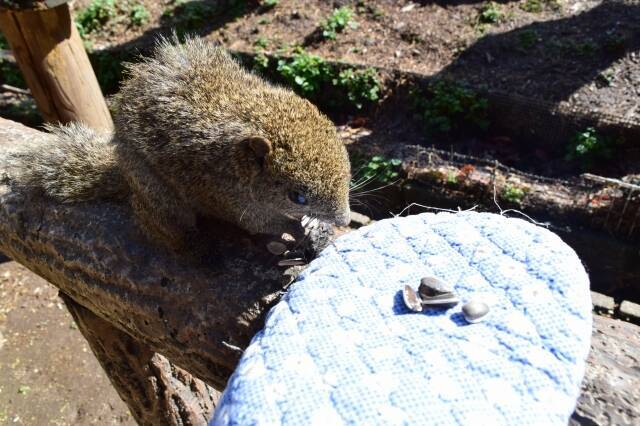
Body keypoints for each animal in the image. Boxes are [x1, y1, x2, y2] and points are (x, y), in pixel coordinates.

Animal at [10, 35, 352, 253]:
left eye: (347, 166)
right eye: (298, 196)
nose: (345, 220)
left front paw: (315, 228)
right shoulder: (228, 197)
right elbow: (261, 224)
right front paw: (298, 230)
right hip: (158, 196)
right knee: (165, 229)